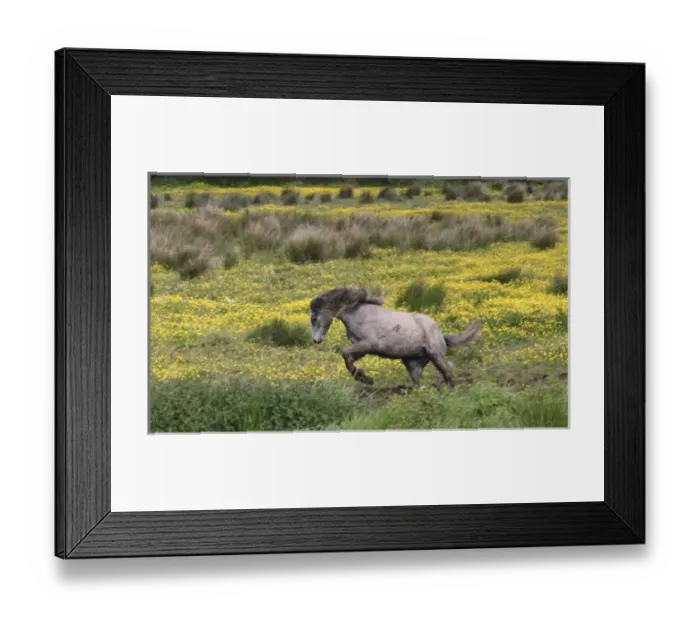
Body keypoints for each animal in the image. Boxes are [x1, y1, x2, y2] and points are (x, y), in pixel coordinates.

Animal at [310, 287, 481, 390]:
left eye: (314, 318)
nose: (316, 340)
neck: (356, 313)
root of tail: (439, 332)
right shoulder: (362, 348)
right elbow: (348, 359)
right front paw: (364, 377)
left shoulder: (369, 344)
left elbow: (345, 353)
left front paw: (366, 379)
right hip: (413, 364)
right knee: (420, 382)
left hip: (435, 355)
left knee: (448, 369)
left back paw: (449, 390)